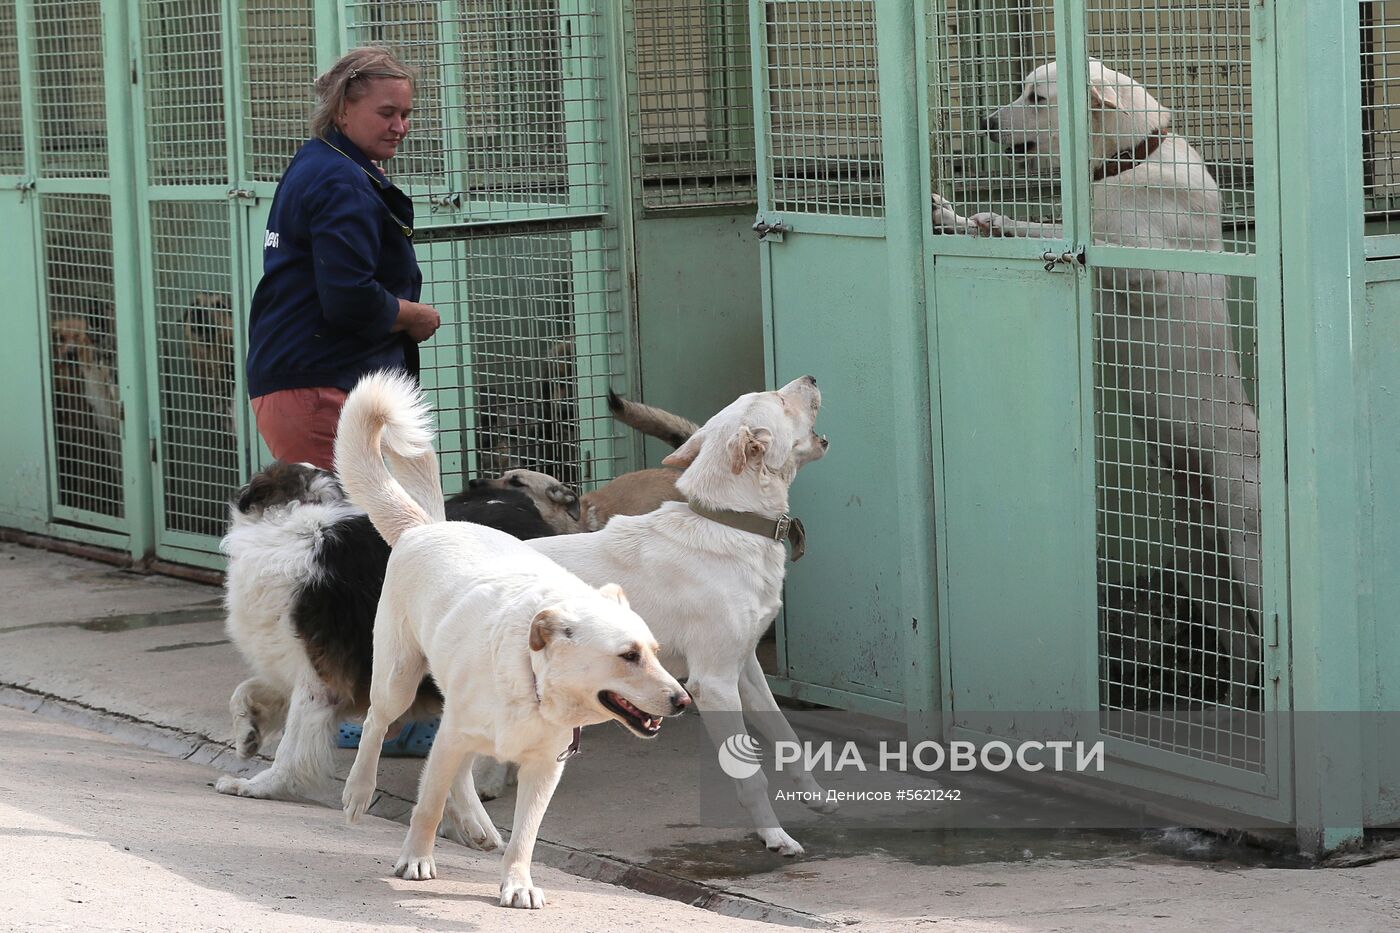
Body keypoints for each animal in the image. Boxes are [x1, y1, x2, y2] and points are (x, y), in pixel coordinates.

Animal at [215, 456, 554, 806]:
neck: (297, 520)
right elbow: (244, 691)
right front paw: (248, 734)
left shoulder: (321, 675)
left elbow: (291, 745)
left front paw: (259, 785)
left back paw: (485, 781)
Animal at [338, 372, 688, 907]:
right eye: (628, 656)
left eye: (654, 653)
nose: (683, 700)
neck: (534, 684)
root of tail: (428, 526)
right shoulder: (452, 736)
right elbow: (428, 805)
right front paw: (416, 859)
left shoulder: (544, 768)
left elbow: (526, 832)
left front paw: (518, 883)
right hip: (398, 675)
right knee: (378, 723)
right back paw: (359, 793)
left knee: (456, 768)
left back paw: (479, 825)